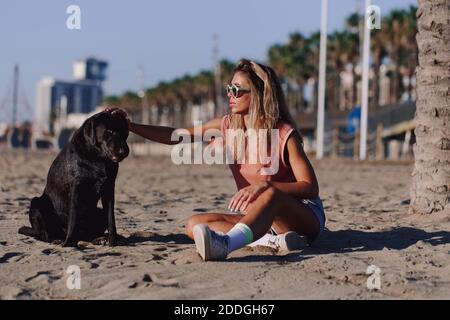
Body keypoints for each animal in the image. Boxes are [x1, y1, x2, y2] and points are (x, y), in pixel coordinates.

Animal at [18, 111, 129, 246]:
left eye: (124, 132)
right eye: (109, 131)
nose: (125, 151)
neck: (98, 159)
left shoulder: (108, 189)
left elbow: (111, 218)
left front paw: (113, 241)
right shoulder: (76, 189)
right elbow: (73, 218)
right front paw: (69, 243)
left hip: (98, 212)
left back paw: (98, 238)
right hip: (36, 203)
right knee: (43, 235)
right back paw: (56, 239)